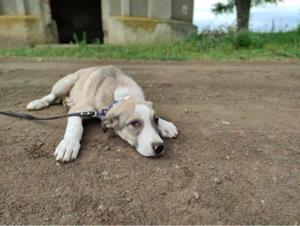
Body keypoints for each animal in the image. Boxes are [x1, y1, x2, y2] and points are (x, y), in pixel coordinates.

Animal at [27, 64, 177, 162]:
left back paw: (67, 101)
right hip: (65, 83)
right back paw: (37, 103)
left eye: (155, 119)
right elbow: (76, 126)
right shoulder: (80, 109)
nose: (160, 147)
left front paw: (165, 125)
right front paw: (69, 144)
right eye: (134, 123)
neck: (119, 97)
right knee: (52, 95)